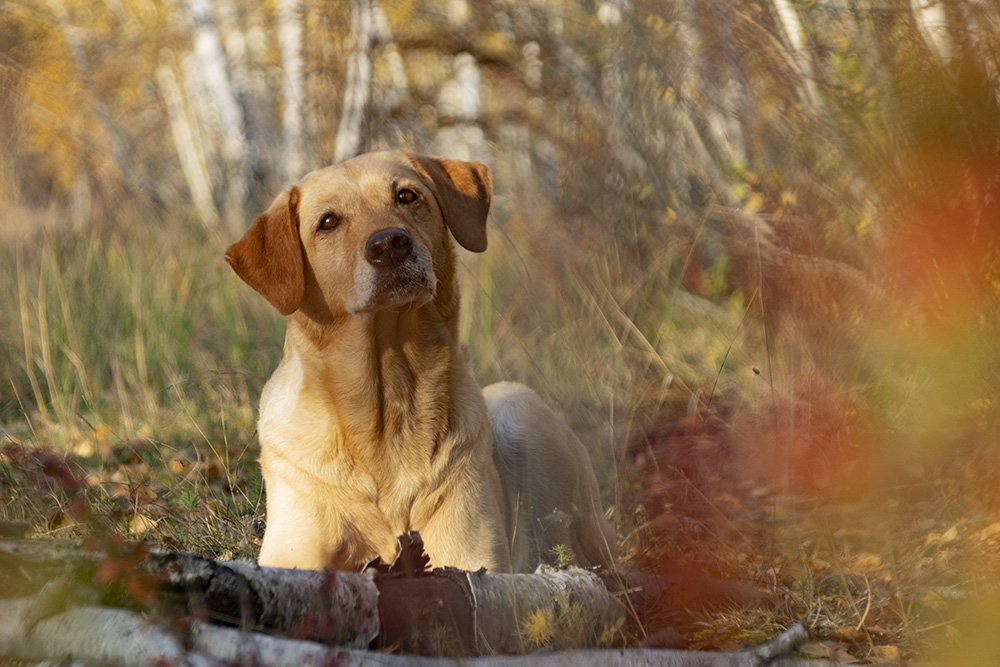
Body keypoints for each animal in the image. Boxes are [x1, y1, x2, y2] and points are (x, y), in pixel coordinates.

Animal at [229, 151, 616, 576]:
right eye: (328, 222)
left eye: (406, 195)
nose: (389, 244)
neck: (387, 405)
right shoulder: (293, 551)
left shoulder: (469, 556)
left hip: (516, 405)